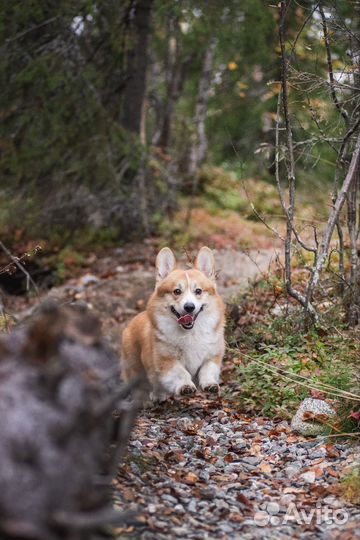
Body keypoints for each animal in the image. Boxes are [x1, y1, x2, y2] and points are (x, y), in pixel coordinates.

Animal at [121, 247, 225, 398]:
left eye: (198, 291)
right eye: (177, 291)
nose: (189, 307)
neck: (190, 333)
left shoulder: (213, 356)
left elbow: (207, 370)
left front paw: (210, 384)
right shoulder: (166, 360)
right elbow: (180, 373)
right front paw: (185, 386)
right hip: (134, 367)